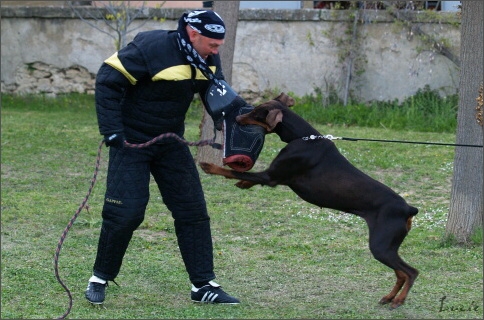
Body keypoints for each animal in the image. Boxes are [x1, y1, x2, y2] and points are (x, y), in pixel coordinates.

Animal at [200, 92, 420, 308]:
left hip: (381, 244)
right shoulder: (272, 176)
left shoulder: (271, 176)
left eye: (256, 112)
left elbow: (235, 172)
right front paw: (243, 184)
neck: (302, 137)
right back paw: (389, 297)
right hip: (388, 246)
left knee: (411, 272)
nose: (237, 119)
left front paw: (209, 166)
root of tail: (409, 208)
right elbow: (245, 177)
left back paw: (398, 300)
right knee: (401, 273)